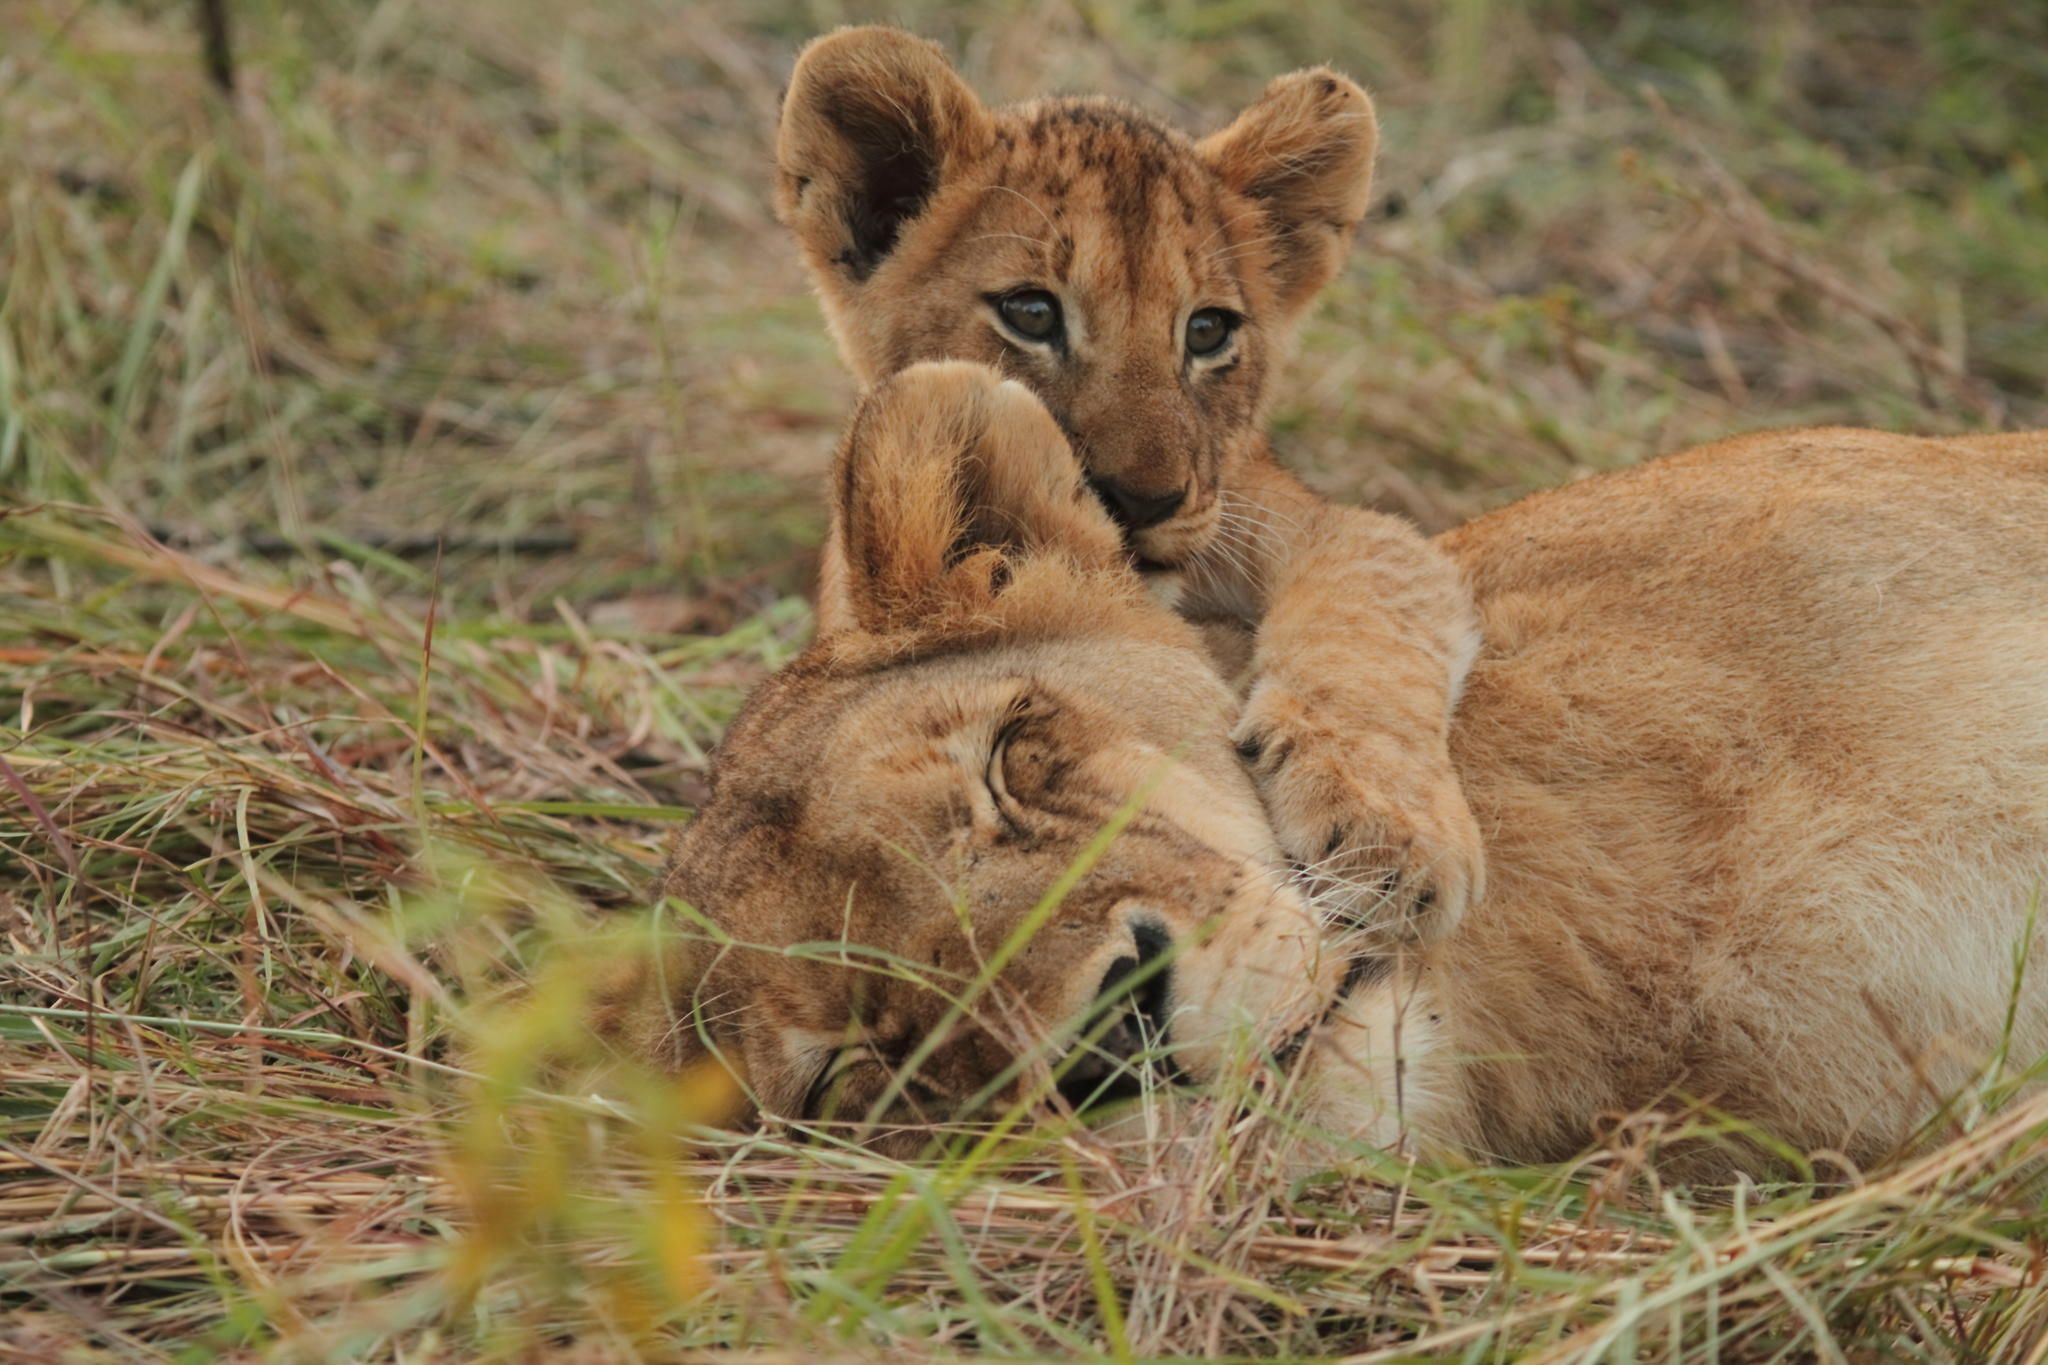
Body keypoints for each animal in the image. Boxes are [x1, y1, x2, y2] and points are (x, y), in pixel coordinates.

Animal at [775, 27, 1486, 941]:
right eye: (1032, 313)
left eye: (1208, 330)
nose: (1146, 500)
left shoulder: (1322, 523)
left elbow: (1368, 622)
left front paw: (1386, 832)